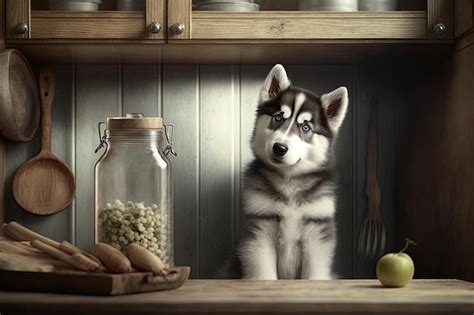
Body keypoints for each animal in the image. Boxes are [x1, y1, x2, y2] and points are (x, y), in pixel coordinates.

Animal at [222, 65, 348, 282]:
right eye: (278, 117)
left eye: (306, 127)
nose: (279, 148)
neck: (289, 179)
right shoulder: (259, 226)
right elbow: (264, 274)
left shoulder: (317, 232)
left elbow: (315, 274)